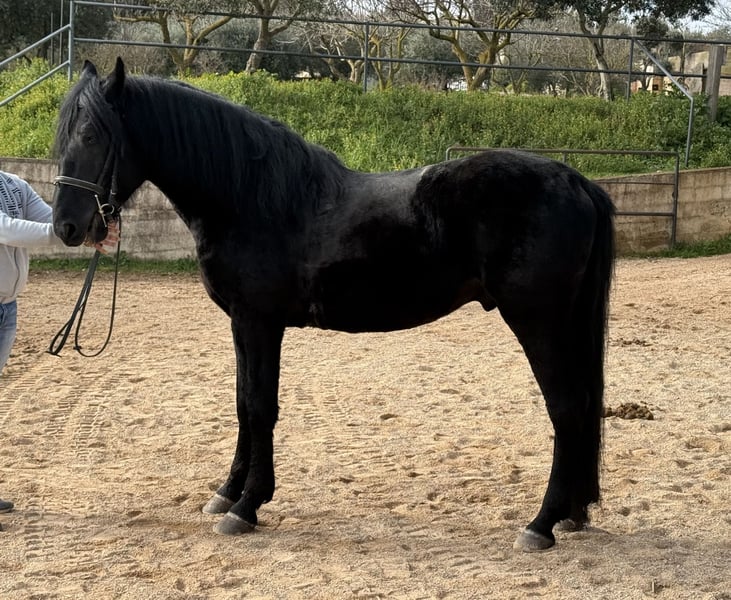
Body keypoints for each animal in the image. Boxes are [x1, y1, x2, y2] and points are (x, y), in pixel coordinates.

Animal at [52, 58, 615, 552]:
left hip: (538, 322)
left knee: (566, 407)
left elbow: (261, 405)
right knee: (583, 406)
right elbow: (242, 402)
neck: (250, 198)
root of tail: (577, 181)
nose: (67, 226)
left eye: (93, 136)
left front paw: (247, 507)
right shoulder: (242, 323)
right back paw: (572, 514)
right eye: (65, 136)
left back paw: (540, 524)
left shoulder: (260, 322)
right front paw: (227, 493)